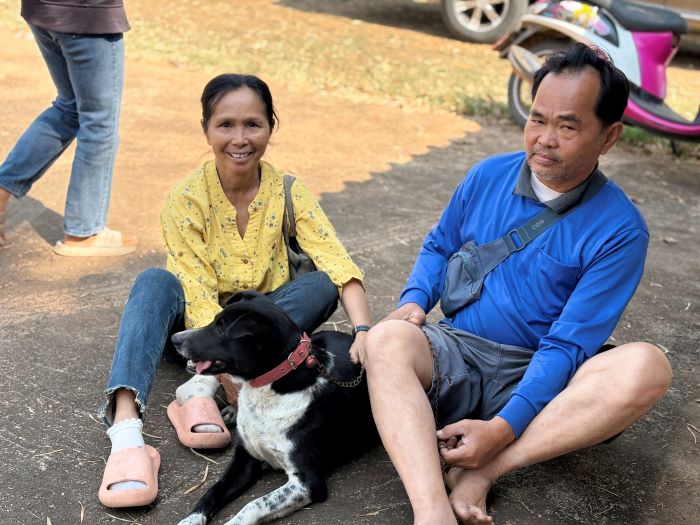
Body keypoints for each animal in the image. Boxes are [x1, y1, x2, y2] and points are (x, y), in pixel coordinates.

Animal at [172, 290, 378, 525]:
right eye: (215, 320)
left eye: (220, 329)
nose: (175, 339)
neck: (273, 387)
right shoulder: (244, 461)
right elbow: (211, 491)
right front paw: (190, 520)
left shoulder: (308, 482)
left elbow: (254, 504)